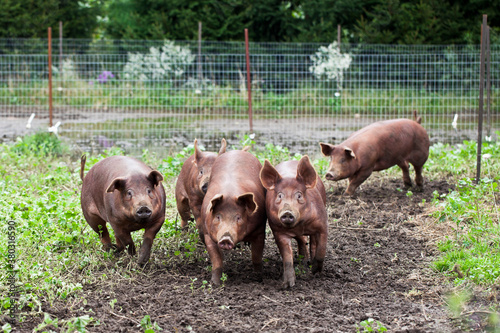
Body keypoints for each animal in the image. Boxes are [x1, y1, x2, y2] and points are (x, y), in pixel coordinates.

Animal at [201, 150, 268, 286]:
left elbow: (256, 255)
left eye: (238, 217)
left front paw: (258, 277)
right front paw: (215, 283)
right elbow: (216, 260)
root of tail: (236, 151)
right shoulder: (207, 234)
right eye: (218, 216)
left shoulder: (260, 229)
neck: (229, 193)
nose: (226, 238)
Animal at [262, 154, 328, 286]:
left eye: (299, 195)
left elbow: (321, 248)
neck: (300, 225)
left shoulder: (322, 224)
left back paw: (310, 263)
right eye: (279, 195)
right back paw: (303, 261)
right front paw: (288, 285)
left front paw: (315, 272)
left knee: (312, 242)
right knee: (302, 240)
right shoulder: (278, 231)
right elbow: (287, 257)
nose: (287, 212)